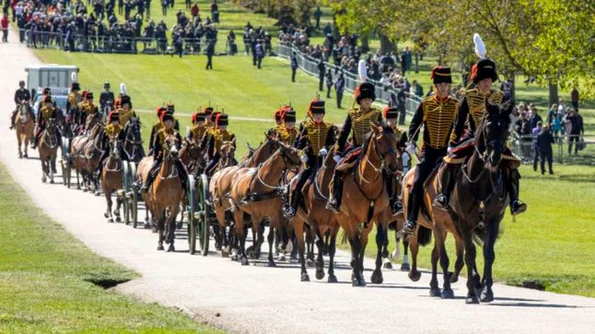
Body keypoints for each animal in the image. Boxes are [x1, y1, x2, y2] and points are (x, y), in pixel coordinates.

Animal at [332, 122, 398, 288]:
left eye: (395, 140)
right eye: (380, 141)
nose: (393, 166)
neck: (368, 182)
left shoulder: (381, 215)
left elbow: (379, 240)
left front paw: (376, 274)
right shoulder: (352, 217)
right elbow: (355, 243)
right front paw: (355, 276)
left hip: (368, 221)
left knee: (364, 239)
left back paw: (361, 271)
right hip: (343, 218)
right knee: (354, 240)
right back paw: (355, 271)